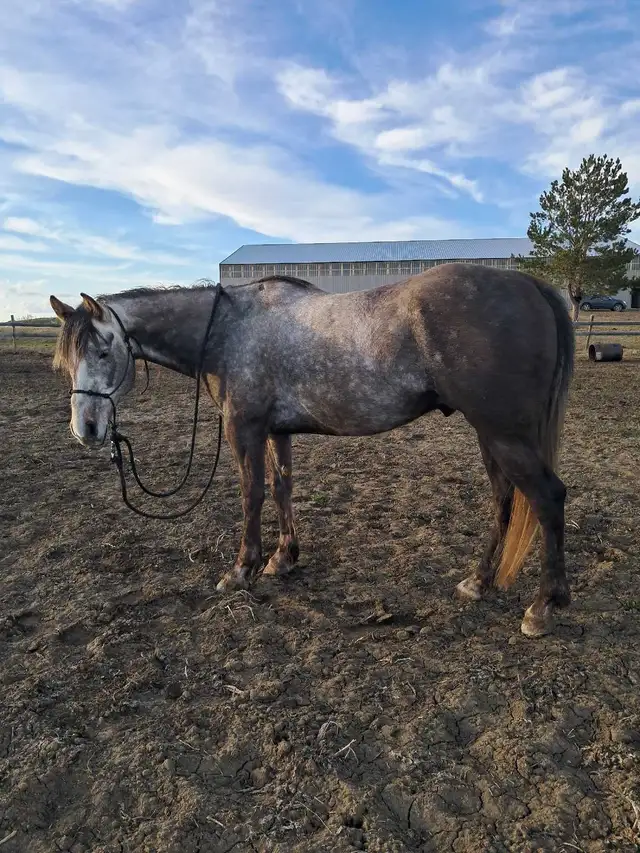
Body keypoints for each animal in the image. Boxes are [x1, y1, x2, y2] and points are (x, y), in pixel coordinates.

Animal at [50, 263, 574, 637]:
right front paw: (284, 558)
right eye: (66, 360)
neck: (228, 330)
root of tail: (530, 284)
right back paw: (478, 582)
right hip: (491, 435)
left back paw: (542, 607)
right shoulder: (276, 431)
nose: (87, 429)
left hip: (505, 434)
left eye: (102, 351)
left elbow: (252, 495)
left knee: (547, 499)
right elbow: (283, 488)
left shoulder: (244, 429)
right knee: (504, 500)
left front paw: (242, 570)